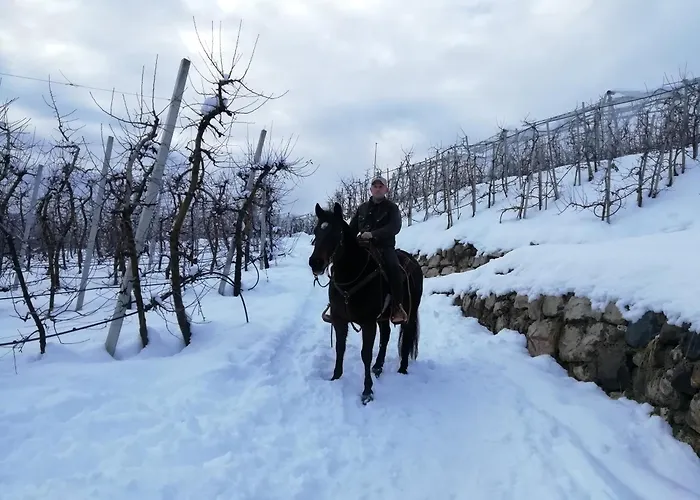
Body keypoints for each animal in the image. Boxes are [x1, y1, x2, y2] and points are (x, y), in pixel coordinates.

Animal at [308, 202, 424, 404]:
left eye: (336, 232)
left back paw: (402, 369)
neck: (352, 275)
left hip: (409, 312)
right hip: (384, 317)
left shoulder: (368, 323)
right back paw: (378, 366)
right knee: (385, 336)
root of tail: (414, 262)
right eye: (316, 231)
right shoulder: (339, 320)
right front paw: (336, 377)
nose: (315, 263)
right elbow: (340, 348)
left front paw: (367, 391)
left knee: (407, 335)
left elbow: (365, 354)